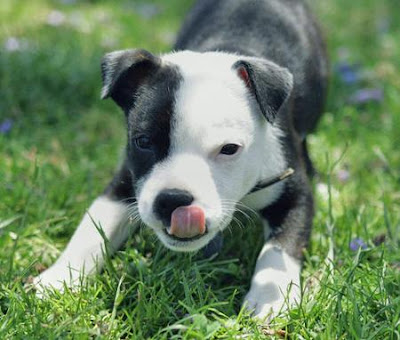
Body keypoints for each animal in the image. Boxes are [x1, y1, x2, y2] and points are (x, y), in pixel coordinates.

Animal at [34, 0, 328, 320]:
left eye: (229, 149)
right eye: (143, 142)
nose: (172, 200)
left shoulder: (293, 191)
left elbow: (280, 248)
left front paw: (271, 298)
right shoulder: (126, 182)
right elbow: (92, 226)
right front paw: (58, 278)